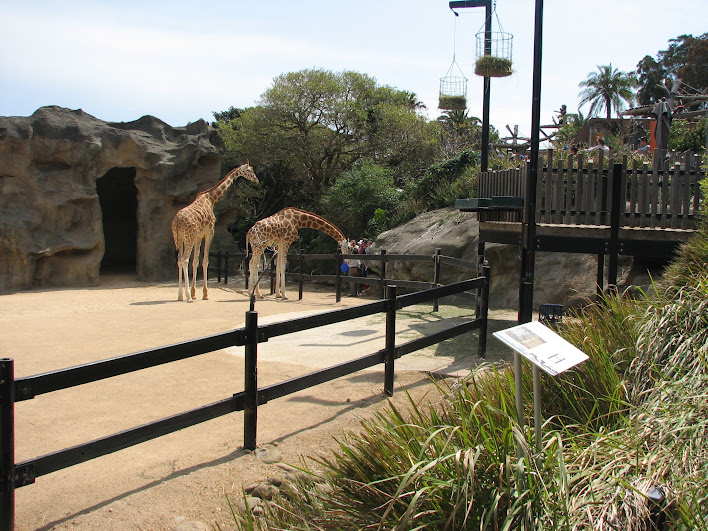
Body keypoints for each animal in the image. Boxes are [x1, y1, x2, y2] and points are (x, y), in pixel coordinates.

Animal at [172, 162, 258, 302]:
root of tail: (177, 222)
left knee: (179, 260)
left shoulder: (198, 236)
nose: (256, 179)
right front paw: (205, 294)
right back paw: (188, 297)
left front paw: (195, 292)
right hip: (188, 238)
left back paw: (180, 295)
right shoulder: (209, 232)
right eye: (250, 170)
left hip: (179, 238)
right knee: (184, 260)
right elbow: (205, 261)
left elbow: (196, 261)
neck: (211, 199)